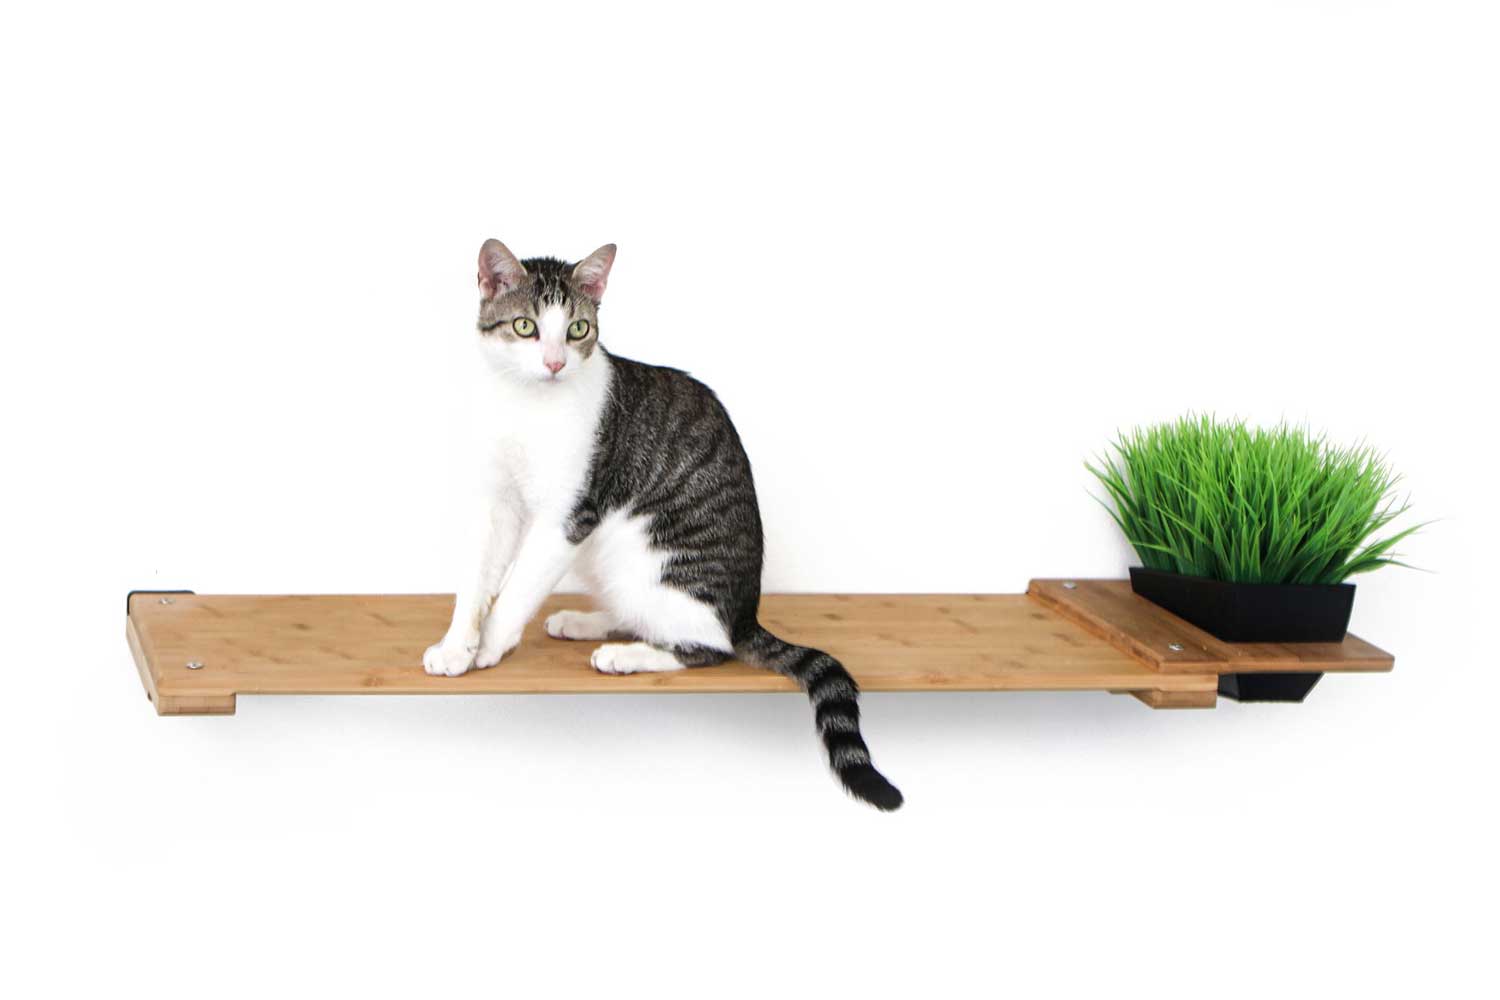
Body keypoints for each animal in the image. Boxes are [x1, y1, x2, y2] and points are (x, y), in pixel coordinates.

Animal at [423, 242, 900, 815]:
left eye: (578, 329)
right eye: (525, 326)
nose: (556, 363)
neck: (527, 407)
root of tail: (745, 613)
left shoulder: (570, 514)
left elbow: (517, 587)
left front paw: (490, 647)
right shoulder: (495, 502)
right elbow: (476, 579)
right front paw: (457, 646)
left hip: (645, 558)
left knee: (707, 644)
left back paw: (624, 655)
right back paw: (588, 622)